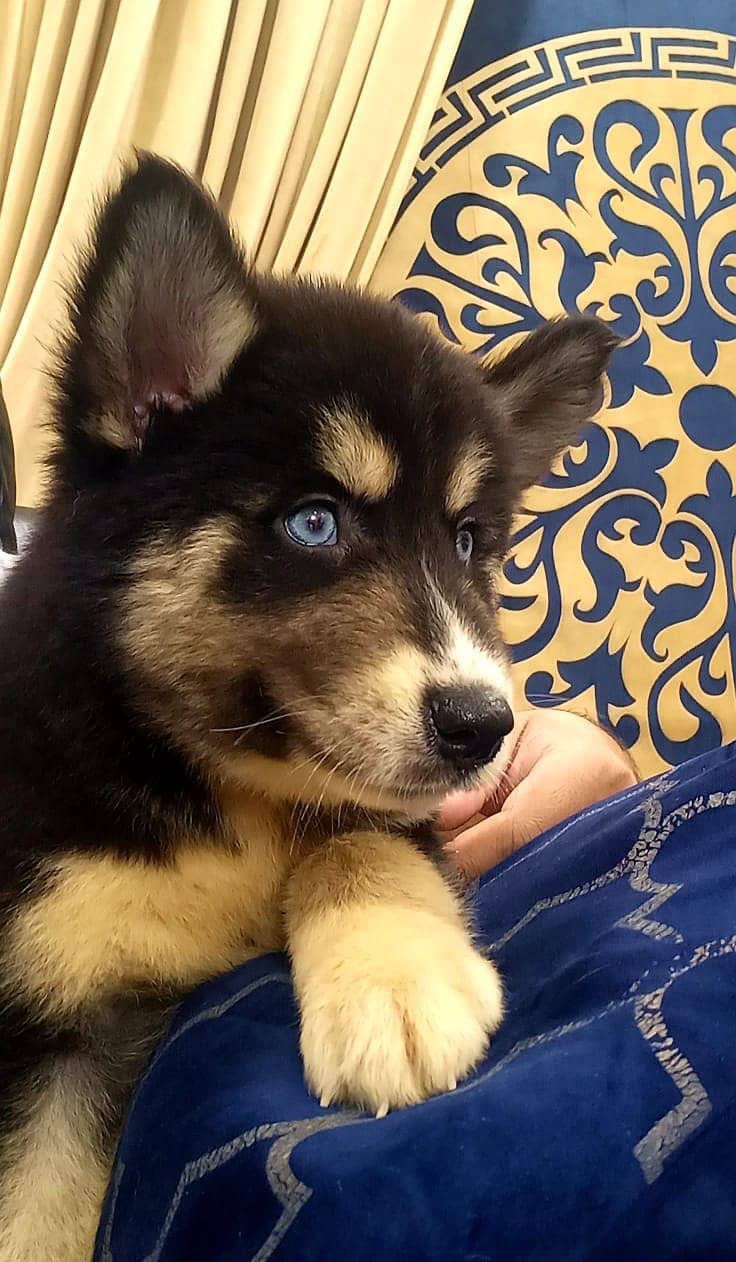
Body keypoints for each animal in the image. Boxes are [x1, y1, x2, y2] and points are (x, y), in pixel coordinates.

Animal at [0, 152, 616, 1256]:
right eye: (315, 522)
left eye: (468, 540)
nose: (485, 730)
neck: (217, 785)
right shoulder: (55, 1015)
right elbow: (34, 1210)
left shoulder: (388, 807)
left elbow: (362, 827)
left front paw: (393, 978)